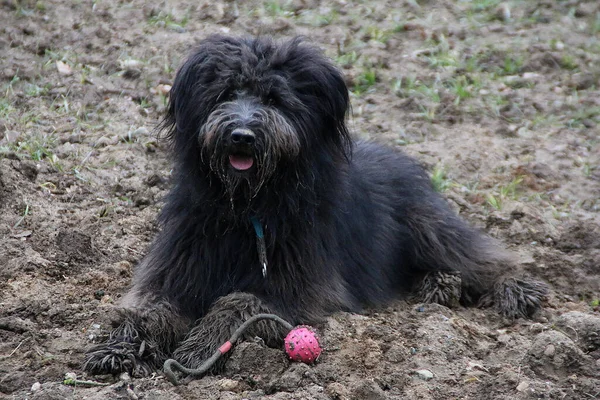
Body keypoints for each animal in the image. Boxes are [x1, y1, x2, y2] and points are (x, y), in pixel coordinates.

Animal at [82, 36, 548, 376]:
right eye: (226, 93)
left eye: (275, 99)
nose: (241, 135)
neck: (247, 208)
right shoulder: (179, 265)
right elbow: (151, 308)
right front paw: (119, 347)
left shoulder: (299, 289)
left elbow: (239, 301)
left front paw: (200, 347)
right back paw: (439, 285)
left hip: (427, 225)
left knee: (480, 254)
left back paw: (513, 287)